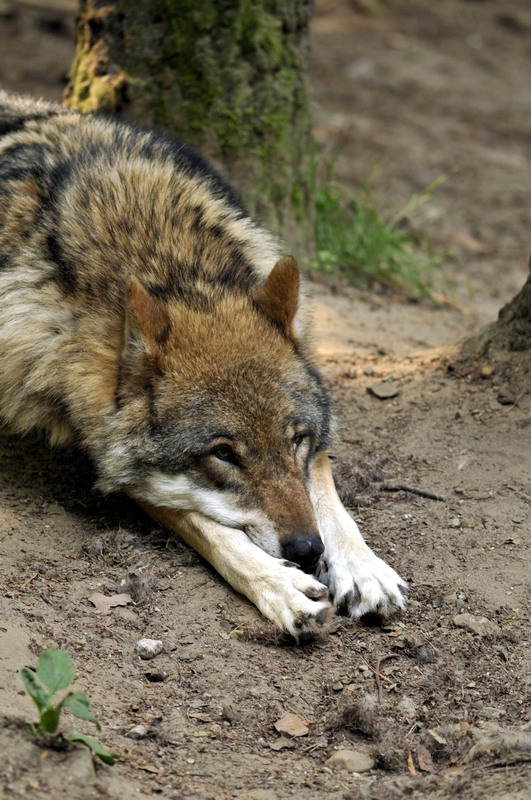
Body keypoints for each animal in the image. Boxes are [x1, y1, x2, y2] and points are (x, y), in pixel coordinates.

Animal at [0, 91, 406, 640]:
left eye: (296, 440)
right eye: (223, 454)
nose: (307, 550)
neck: (169, 266)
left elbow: (324, 490)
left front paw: (362, 567)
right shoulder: (126, 465)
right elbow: (210, 527)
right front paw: (280, 585)